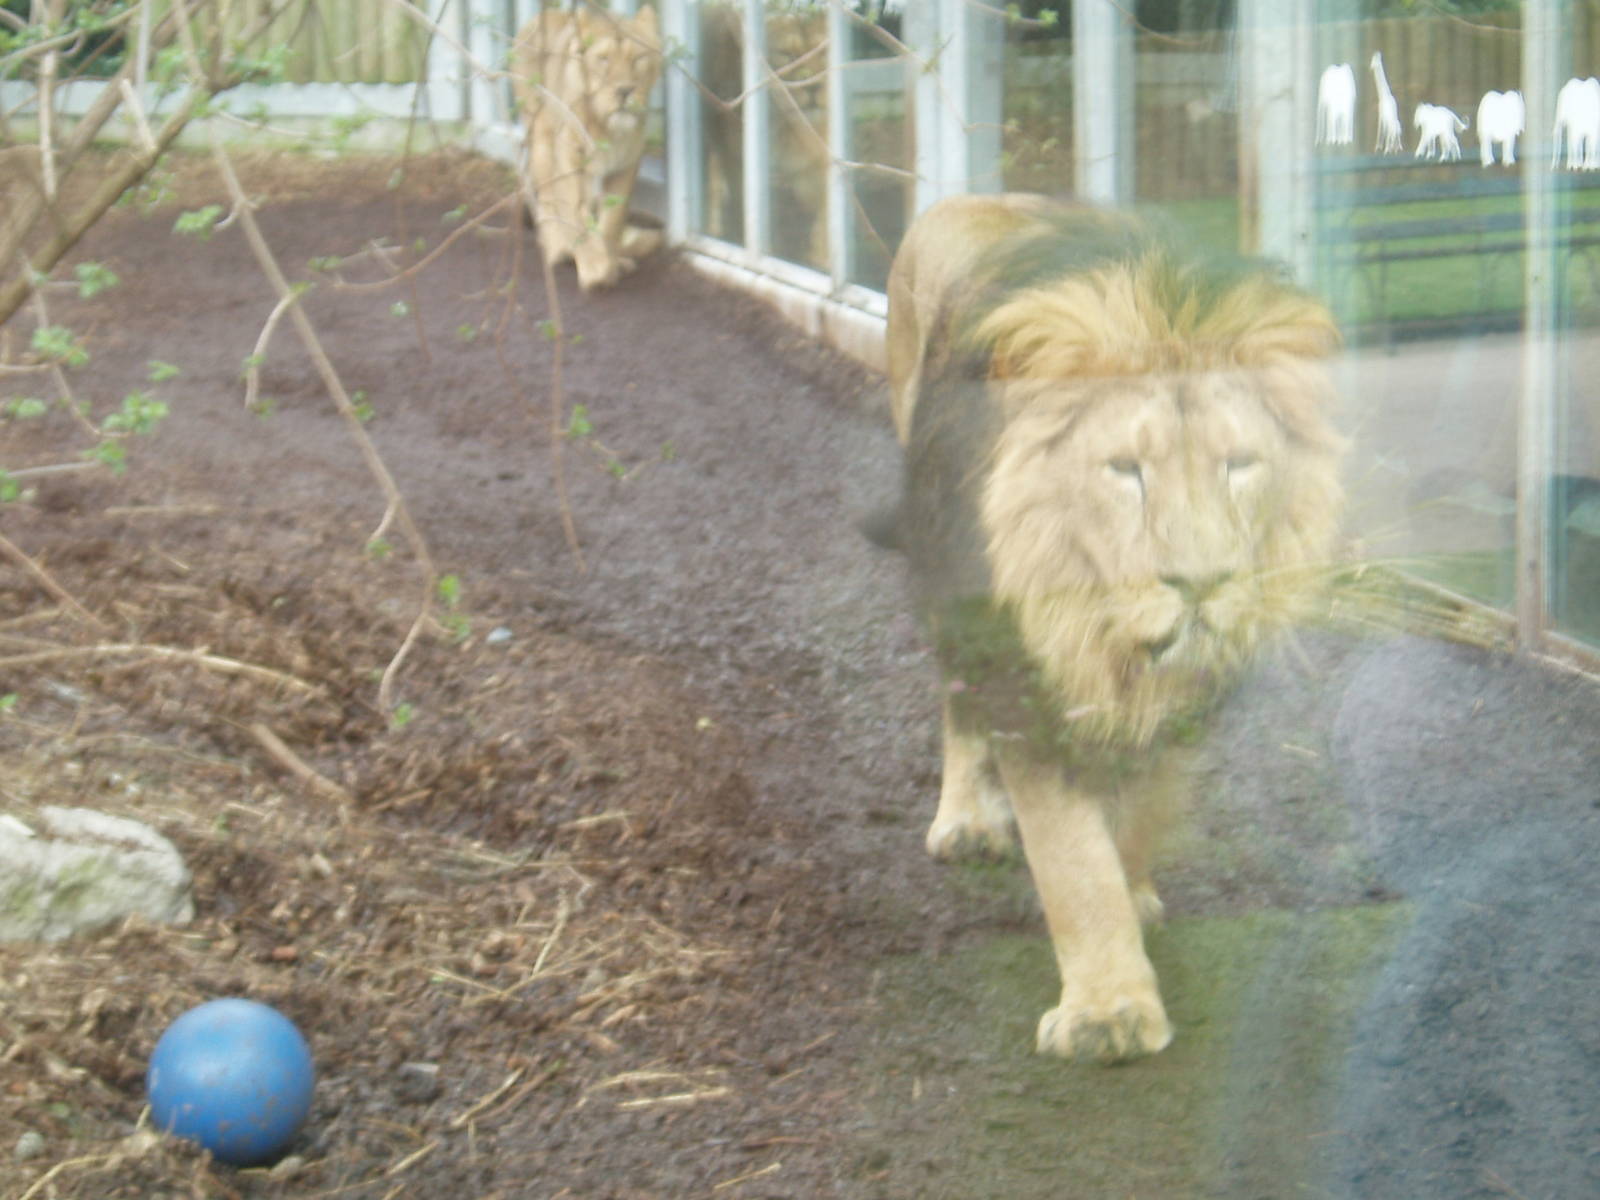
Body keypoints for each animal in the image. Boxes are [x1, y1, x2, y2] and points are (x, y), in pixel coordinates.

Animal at [511, 4, 663, 292]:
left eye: (638, 58)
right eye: (603, 59)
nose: (624, 91)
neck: (607, 128)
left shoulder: (627, 164)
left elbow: (613, 219)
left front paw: (611, 263)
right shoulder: (569, 161)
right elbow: (575, 212)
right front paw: (594, 267)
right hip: (542, 140)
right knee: (548, 199)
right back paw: (559, 250)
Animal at [883, 193, 1347, 1063]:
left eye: (1240, 464)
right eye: (1125, 471)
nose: (1200, 583)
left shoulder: (1185, 695)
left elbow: (1139, 814)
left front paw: (1133, 900)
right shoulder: (1022, 676)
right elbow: (1072, 856)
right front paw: (1108, 1014)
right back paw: (966, 820)